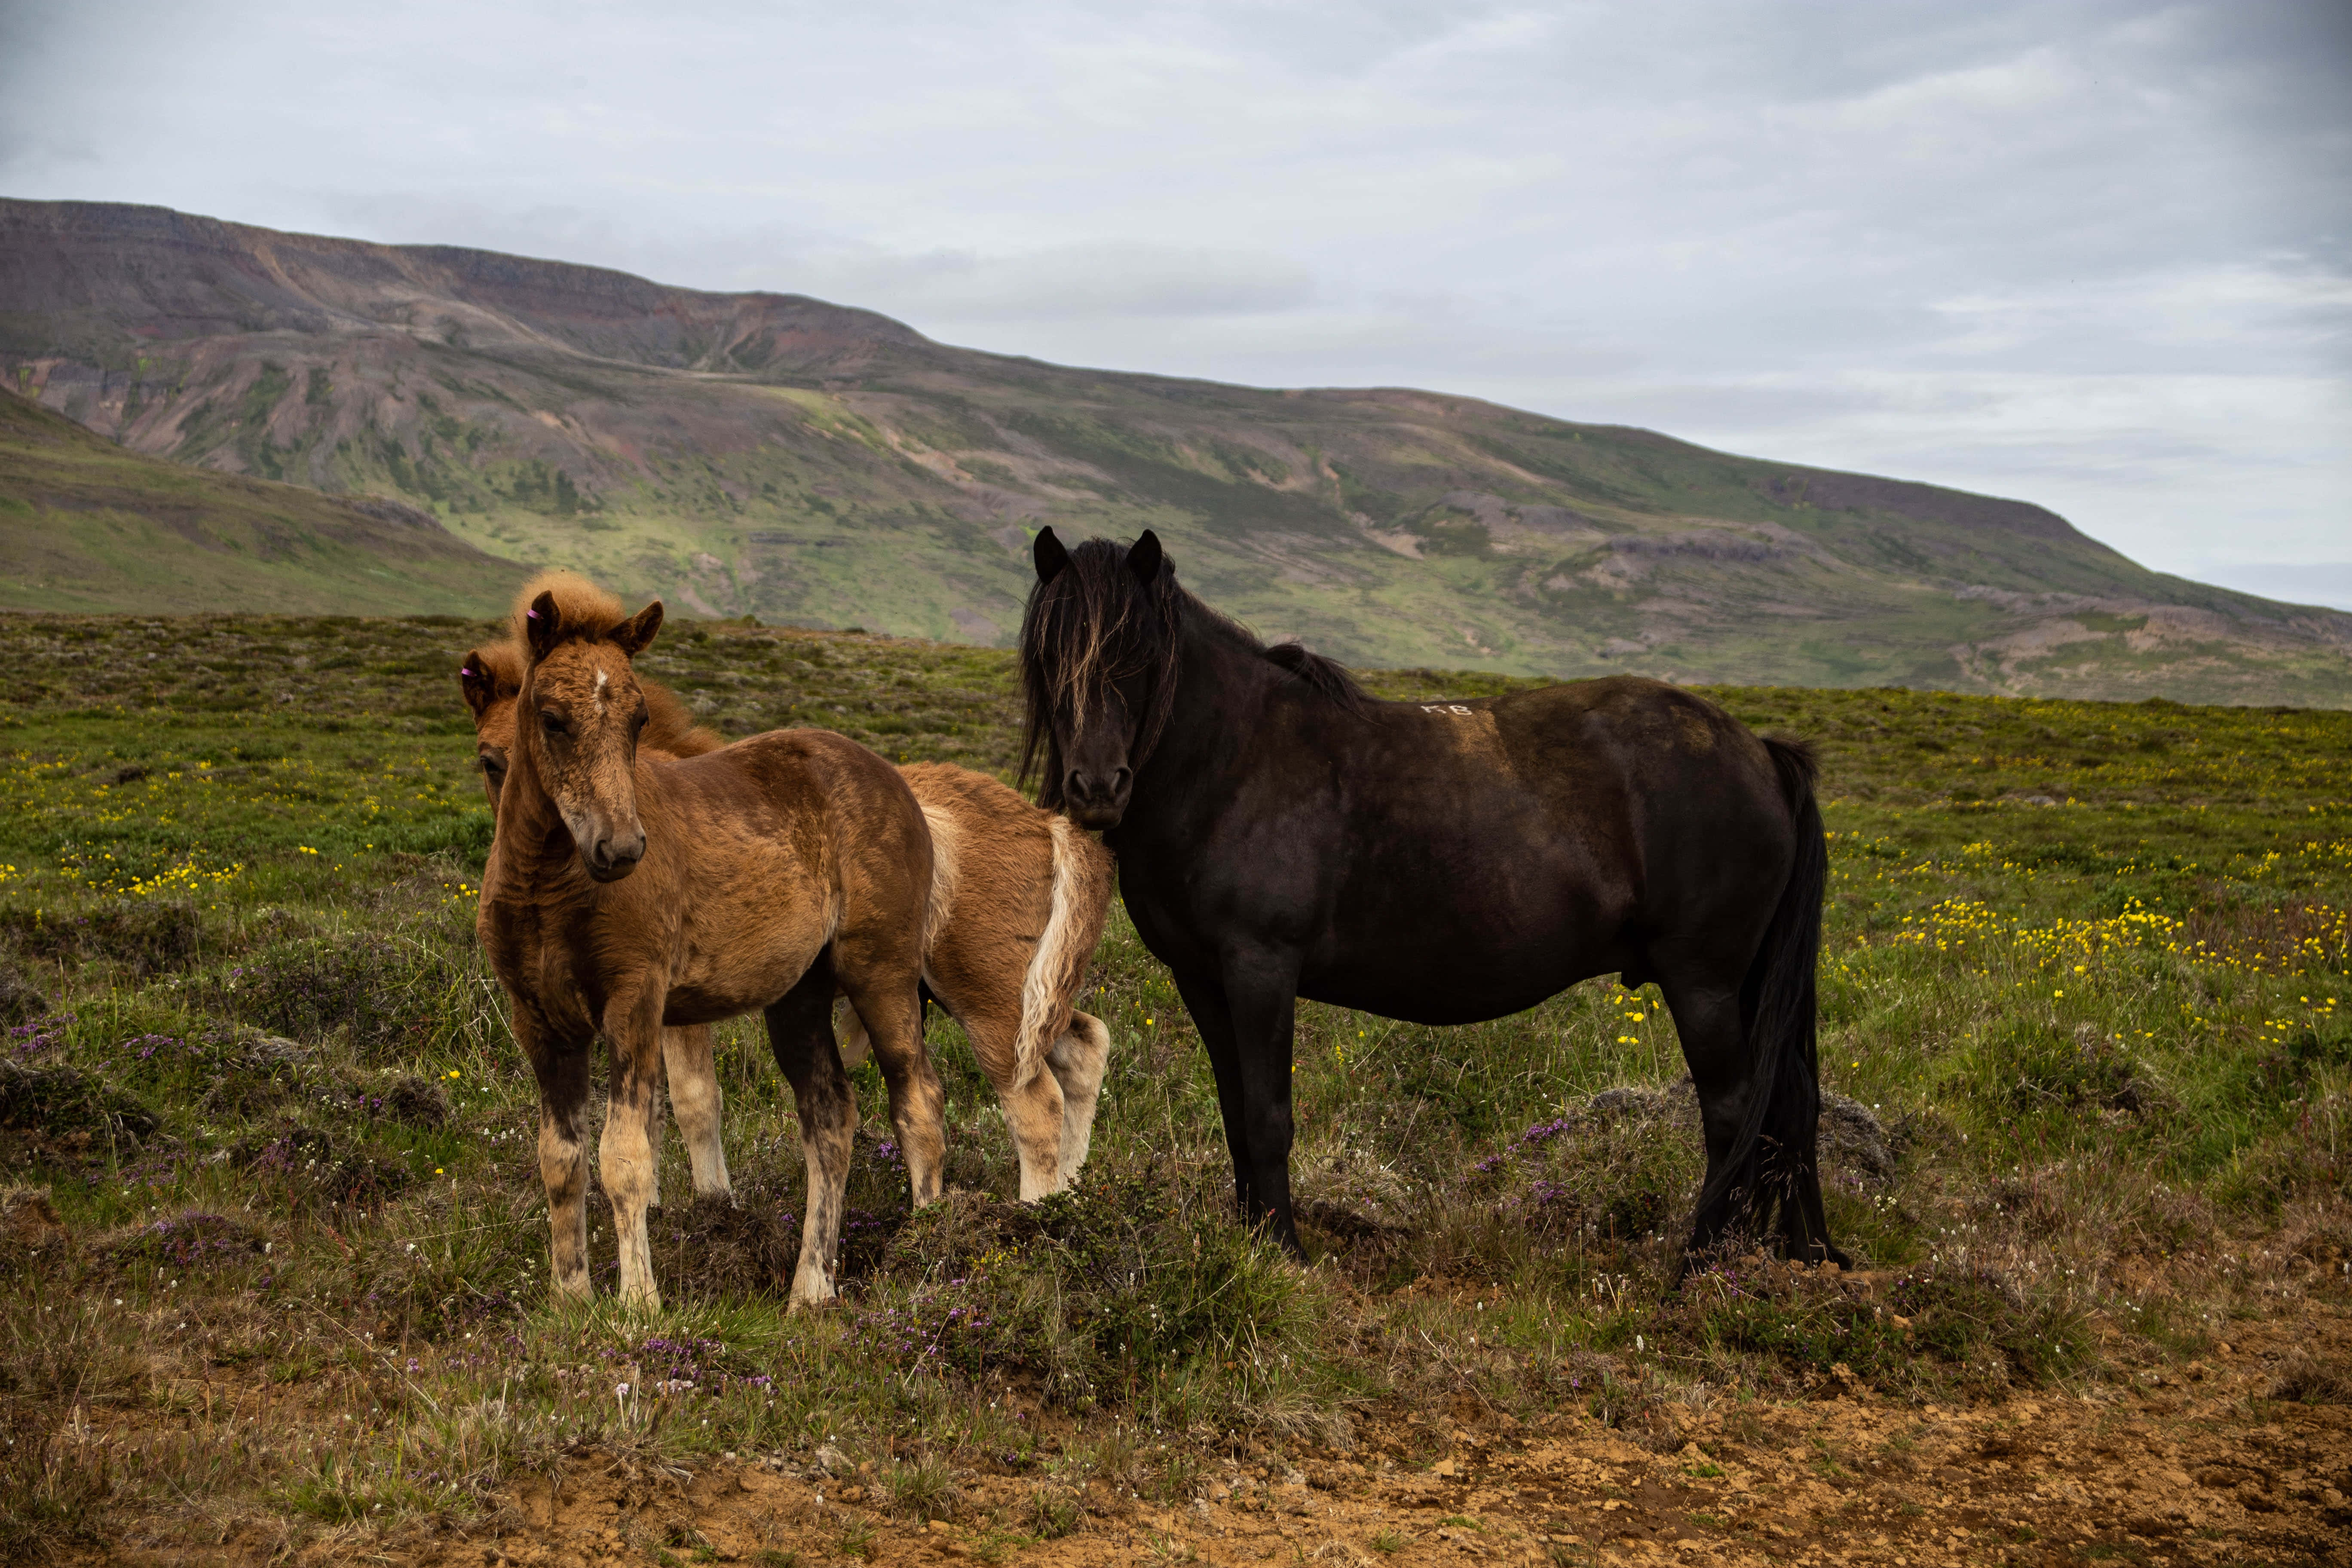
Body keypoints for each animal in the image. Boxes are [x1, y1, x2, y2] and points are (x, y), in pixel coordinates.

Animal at [460, 630, 1117, 1203]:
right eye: (488, 761)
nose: (600, 847)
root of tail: (1047, 823)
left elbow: (692, 1100)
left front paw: (710, 1203)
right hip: (1020, 997)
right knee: (1084, 1048)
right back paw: (1074, 1193)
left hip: (984, 1000)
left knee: (1034, 1103)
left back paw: (1037, 1213)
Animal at [476, 572, 942, 1309]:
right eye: (552, 718)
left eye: (639, 719)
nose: (620, 848)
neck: (551, 890)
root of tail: (897, 780)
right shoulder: (540, 1022)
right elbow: (560, 1161)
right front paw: (570, 1300)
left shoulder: (635, 1004)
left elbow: (626, 1156)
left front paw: (637, 1306)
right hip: (798, 998)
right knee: (831, 1119)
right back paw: (810, 1290)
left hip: (882, 975)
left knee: (916, 1098)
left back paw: (928, 1250)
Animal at [1018, 528, 1845, 1273]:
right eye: (1054, 656)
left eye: (1139, 657)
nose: (1096, 788)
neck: (1234, 763)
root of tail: (1760, 751)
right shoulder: (1202, 978)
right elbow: (1235, 1114)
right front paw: (1253, 1244)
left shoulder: (1261, 969)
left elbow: (1268, 1116)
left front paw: (1285, 1253)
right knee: (1785, 1108)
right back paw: (1791, 1254)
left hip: (1704, 982)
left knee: (1733, 1112)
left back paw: (1701, 1264)